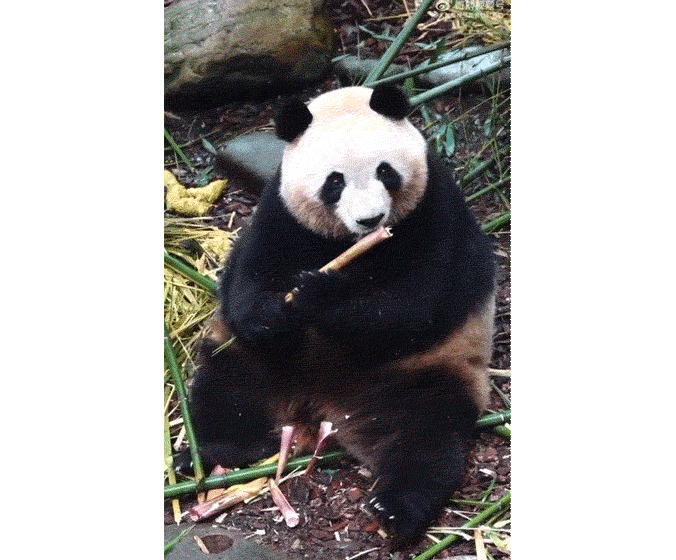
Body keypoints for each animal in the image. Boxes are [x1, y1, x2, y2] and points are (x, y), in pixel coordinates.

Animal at [185, 84, 496, 548]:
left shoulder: (435, 210)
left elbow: (413, 302)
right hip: (262, 362)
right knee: (228, 389)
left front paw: (319, 294)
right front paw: (274, 311)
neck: (349, 244)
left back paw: (396, 508)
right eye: (335, 182)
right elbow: (249, 277)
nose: (371, 219)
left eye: (386, 171)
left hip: (419, 375)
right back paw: (208, 454)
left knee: (424, 438)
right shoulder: (280, 210)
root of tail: (322, 404)